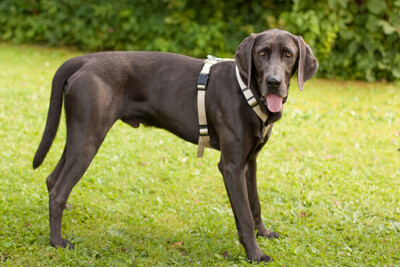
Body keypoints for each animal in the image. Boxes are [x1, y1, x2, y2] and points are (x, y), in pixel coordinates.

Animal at [32, 29, 318, 264]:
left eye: (289, 54)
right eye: (261, 53)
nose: (273, 82)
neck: (247, 91)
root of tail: (84, 60)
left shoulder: (250, 162)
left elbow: (254, 204)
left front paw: (264, 233)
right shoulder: (232, 166)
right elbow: (244, 215)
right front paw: (255, 255)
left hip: (78, 135)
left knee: (52, 179)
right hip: (88, 139)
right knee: (58, 191)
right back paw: (57, 242)